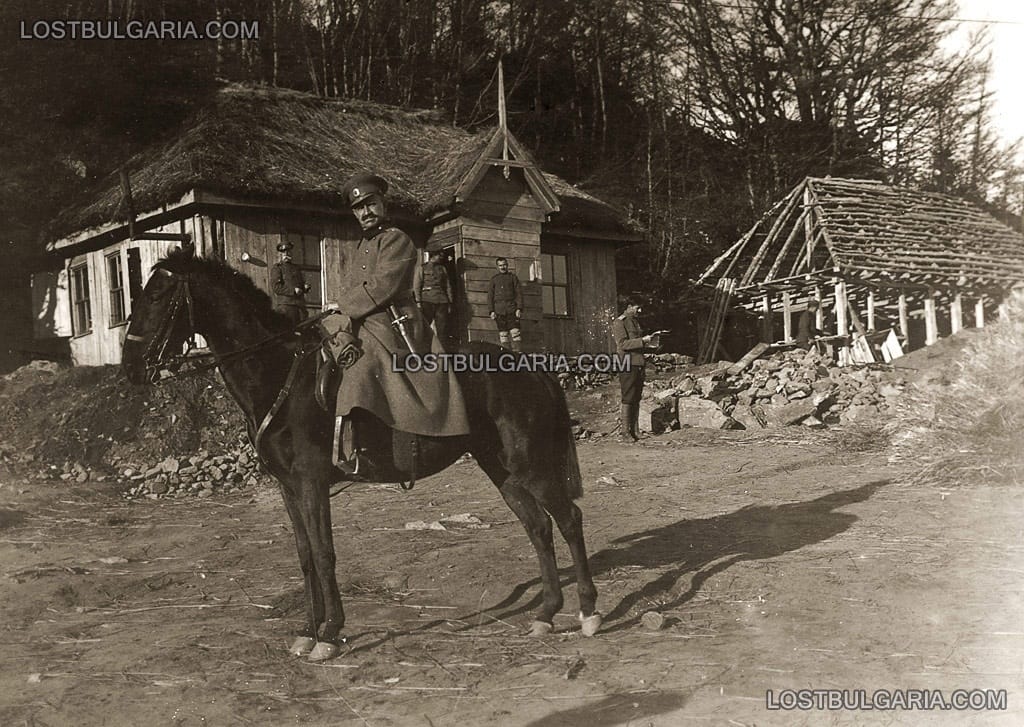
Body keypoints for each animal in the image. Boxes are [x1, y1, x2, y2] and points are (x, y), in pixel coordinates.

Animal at [121, 253, 598, 663]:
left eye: (157, 296)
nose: (129, 368)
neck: (280, 375)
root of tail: (530, 365)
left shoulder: (312, 483)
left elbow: (325, 552)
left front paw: (330, 633)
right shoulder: (289, 488)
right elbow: (305, 556)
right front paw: (308, 631)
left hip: (531, 465)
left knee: (569, 520)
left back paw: (588, 611)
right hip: (502, 469)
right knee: (538, 527)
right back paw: (546, 613)